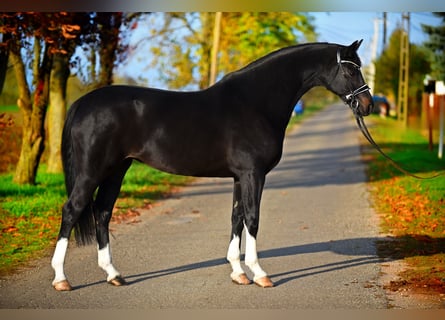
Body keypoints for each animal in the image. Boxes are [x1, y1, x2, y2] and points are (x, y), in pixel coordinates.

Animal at [51, 39, 372, 290]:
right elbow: (252, 218)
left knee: (103, 212)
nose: (367, 105)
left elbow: (236, 218)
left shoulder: (240, 177)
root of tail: (83, 103)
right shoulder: (253, 174)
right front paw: (259, 273)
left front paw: (238, 273)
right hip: (92, 171)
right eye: (349, 69)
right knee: (72, 210)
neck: (255, 102)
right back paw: (61, 279)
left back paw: (113, 275)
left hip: (118, 169)